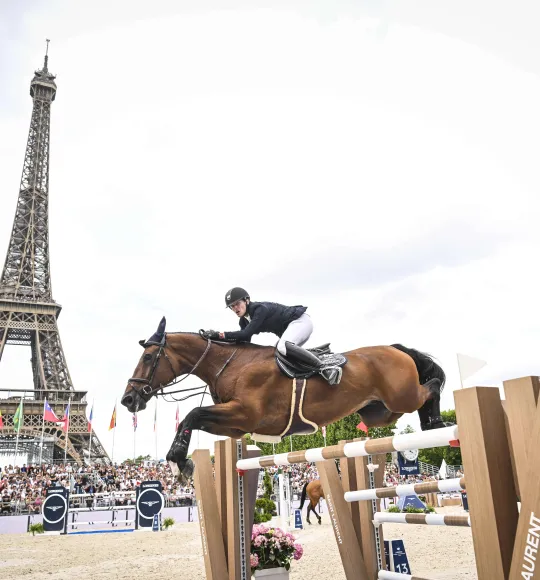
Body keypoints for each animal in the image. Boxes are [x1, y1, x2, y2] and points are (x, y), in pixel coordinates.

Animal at [121, 318, 448, 480]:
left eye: (148, 357)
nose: (128, 400)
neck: (231, 364)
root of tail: (396, 349)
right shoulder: (236, 426)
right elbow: (195, 417)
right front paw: (181, 462)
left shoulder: (244, 413)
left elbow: (192, 414)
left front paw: (179, 461)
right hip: (379, 412)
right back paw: (432, 425)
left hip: (402, 397)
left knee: (432, 385)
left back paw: (435, 423)